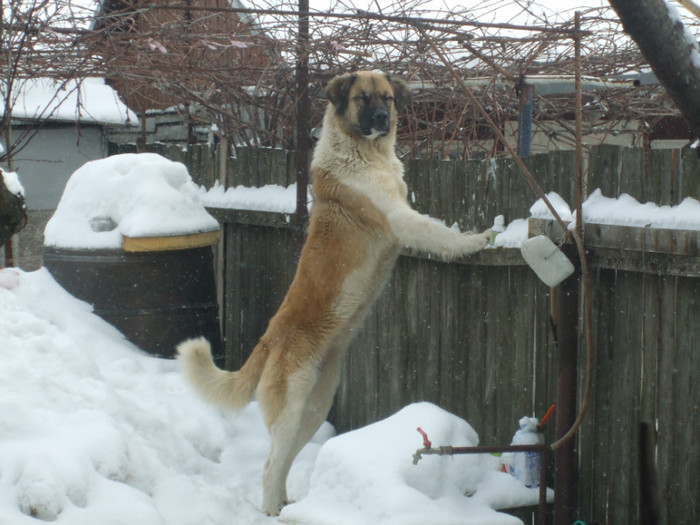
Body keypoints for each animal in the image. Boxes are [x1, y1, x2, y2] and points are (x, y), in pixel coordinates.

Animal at [178, 70, 490, 516]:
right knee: (270, 465)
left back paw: (286, 504)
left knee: (284, 461)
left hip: (314, 409)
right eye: (362, 99)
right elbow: (438, 232)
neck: (364, 152)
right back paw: (272, 511)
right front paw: (477, 240)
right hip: (291, 410)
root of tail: (269, 340)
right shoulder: (399, 218)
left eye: (387, 98)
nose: (381, 119)